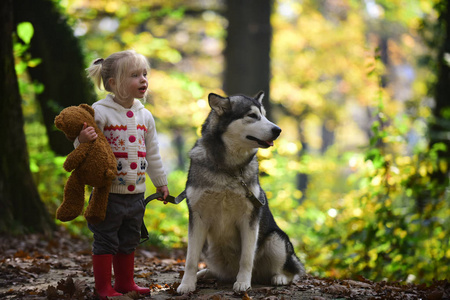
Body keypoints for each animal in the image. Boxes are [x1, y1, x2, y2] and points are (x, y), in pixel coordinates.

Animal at [177, 91, 306, 292]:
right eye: (252, 115)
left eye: (265, 115)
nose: (278, 130)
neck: (228, 169)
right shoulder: (197, 217)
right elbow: (190, 259)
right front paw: (187, 284)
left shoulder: (250, 218)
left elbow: (246, 258)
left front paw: (243, 282)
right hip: (209, 248)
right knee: (216, 270)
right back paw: (205, 273)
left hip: (275, 239)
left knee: (290, 271)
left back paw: (279, 278)